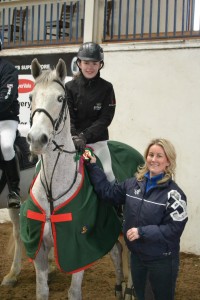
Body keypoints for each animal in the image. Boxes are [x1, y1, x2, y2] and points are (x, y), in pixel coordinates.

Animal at [21, 58, 143, 300]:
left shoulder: (78, 250)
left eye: (60, 98)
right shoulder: (39, 250)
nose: (37, 139)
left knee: (130, 254)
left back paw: (130, 290)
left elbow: (74, 292)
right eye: (30, 97)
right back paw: (118, 287)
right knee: (117, 251)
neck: (53, 189)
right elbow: (42, 291)